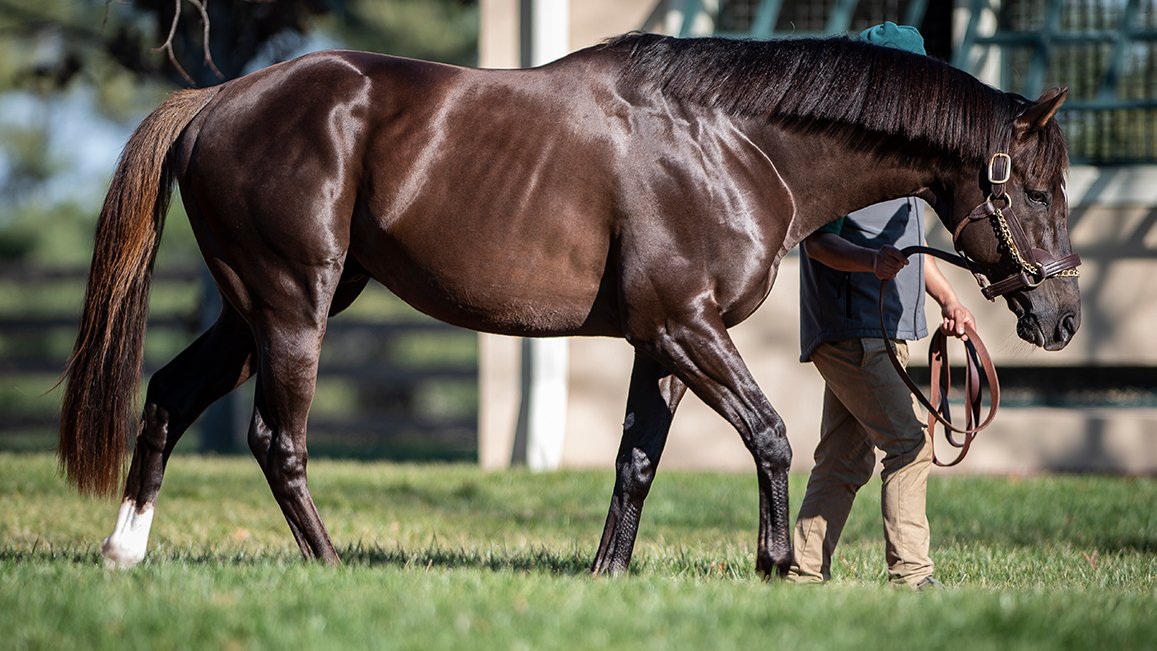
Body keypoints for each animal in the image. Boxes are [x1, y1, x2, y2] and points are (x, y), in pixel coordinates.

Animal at [59, 32, 1081, 574]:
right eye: (1035, 190)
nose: (1062, 317)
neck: (733, 145)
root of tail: (215, 99)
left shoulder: (659, 344)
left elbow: (637, 460)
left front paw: (607, 573)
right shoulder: (686, 326)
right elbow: (770, 434)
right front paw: (772, 562)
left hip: (254, 310)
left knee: (169, 396)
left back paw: (123, 549)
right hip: (290, 308)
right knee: (277, 440)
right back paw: (330, 567)